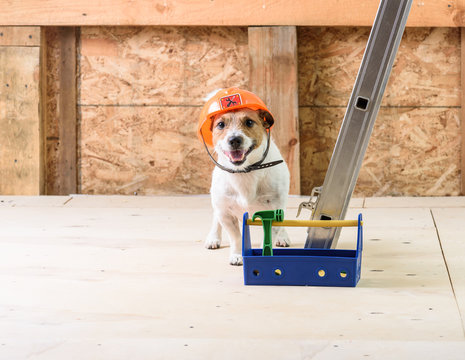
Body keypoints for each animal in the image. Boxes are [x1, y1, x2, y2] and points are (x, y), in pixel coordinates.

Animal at [197, 88, 290, 266]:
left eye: (249, 122)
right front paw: (237, 255)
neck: (245, 172)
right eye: (221, 124)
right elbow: (235, 237)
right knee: (216, 218)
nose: (234, 140)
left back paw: (283, 236)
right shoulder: (226, 213)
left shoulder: (274, 208)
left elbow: (271, 231)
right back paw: (214, 237)